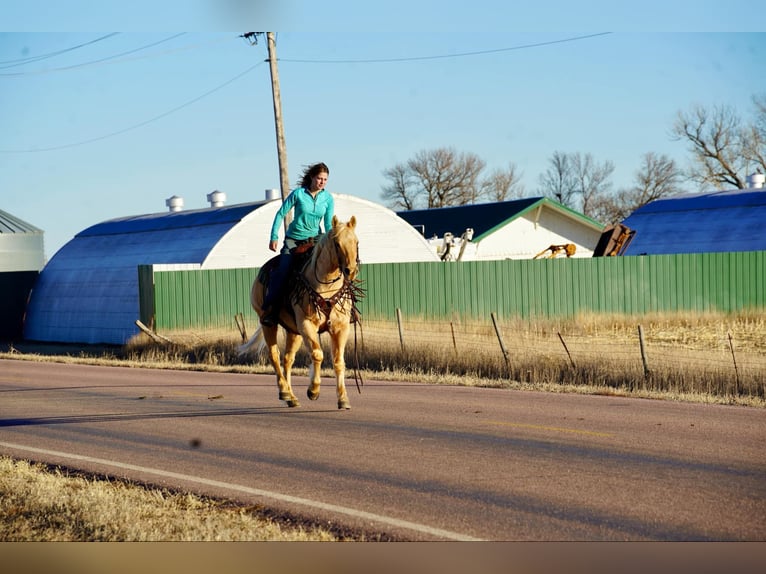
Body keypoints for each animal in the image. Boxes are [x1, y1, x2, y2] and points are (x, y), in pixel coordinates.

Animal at [242, 216, 364, 410]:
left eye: (356, 242)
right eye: (337, 243)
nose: (350, 271)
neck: (326, 286)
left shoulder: (341, 327)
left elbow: (338, 361)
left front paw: (343, 399)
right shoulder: (307, 324)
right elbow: (317, 354)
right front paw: (313, 391)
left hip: (294, 331)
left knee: (287, 359)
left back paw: (291, 397)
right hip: (268, 323)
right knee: (274, 355)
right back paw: (284, 391)